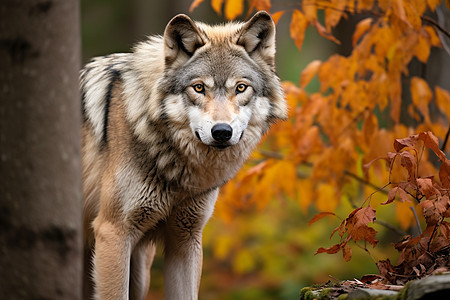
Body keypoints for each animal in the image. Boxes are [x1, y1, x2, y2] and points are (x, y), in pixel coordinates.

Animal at [80, 10, 284, 298]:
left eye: (241, 88)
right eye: (198, 88)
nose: (222, 132)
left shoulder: (186, 239)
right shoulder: (112, 232)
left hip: (140, 269)